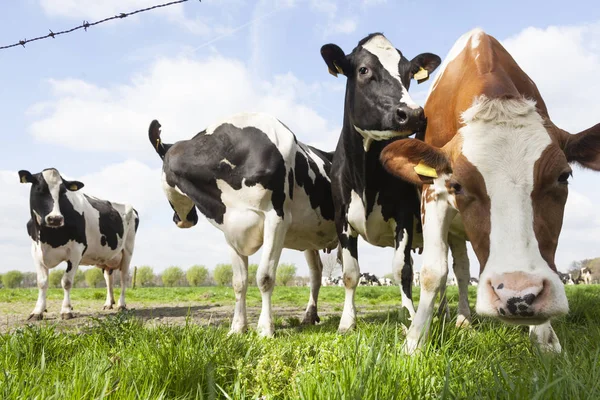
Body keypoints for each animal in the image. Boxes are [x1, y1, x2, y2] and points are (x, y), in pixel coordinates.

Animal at [17, 168, 139, 318]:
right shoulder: (36, 251)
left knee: (123, 278)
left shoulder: (76, 251)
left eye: (63, 192)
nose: (55, 218)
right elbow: (42, 282)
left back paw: (121, 305)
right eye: (40, 189)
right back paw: (108, 303)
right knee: (108, 279)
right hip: (107, 259)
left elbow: (66, 281)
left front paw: (66, 310)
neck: (50, 237)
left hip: (127, 250)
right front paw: (38, 311)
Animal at [148, 113, 340, 338]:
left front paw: (265, 329)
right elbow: (238, 282)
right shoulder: (231, 229)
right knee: (316, 274)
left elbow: (265, 277)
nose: (180, 219)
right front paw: (237, 328)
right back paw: (309, 316)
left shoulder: (276, 219)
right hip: (310, 238)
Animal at [322, 32, 442, 332]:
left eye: (409, 73)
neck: (366, 177)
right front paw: (347, 321)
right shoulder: (342, 218)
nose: (413, 113)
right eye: (364, 70)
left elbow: (402, 269)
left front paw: (410, 314)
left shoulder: (404, 215)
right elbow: (350, 273)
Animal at [380, 28, 600, 354]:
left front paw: (545, 339)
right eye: (458, 184)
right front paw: (415, 342)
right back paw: (454, 318)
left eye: (564, 176)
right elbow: (433, 272)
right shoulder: (434, 193)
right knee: (454, 270)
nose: (518, 296)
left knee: (461, 269)